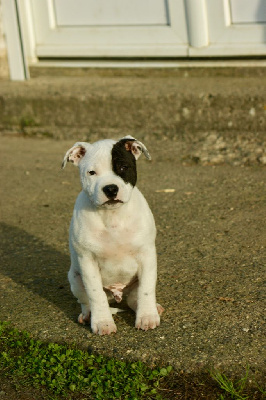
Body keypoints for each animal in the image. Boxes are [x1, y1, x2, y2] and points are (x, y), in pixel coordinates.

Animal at [62, 137, 163, 334]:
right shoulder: (87, 260)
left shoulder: (146, 255)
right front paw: (103, 322)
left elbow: (146, 289)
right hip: (75, 278)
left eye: (123, 167)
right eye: (91, 172)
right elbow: (95, 294)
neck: (113, 216)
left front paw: (147, 317)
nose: (110, 189)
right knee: (86, 301)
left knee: (135, 299)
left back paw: (153, 308)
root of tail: (117, 293)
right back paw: (87, 315)